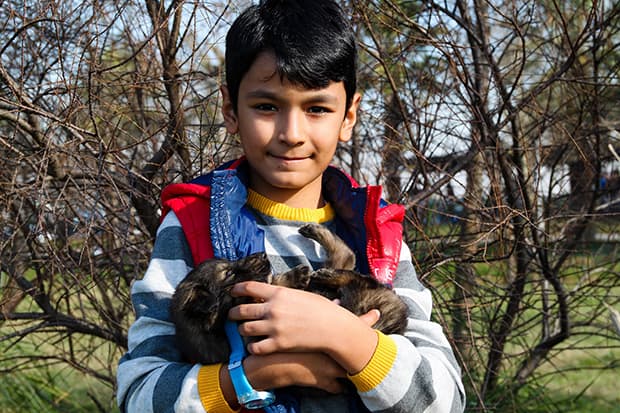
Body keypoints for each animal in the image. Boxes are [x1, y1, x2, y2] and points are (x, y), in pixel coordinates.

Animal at [172, 222, 410, 364]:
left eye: (230, 263)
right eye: (229, 273)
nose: (262, 255)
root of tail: (400, 318)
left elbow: (273, 282)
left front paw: (295, 275)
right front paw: (296, 276)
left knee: (346, 257)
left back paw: (313, 237)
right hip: (361, 299)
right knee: (353, 273)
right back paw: (324, 272)